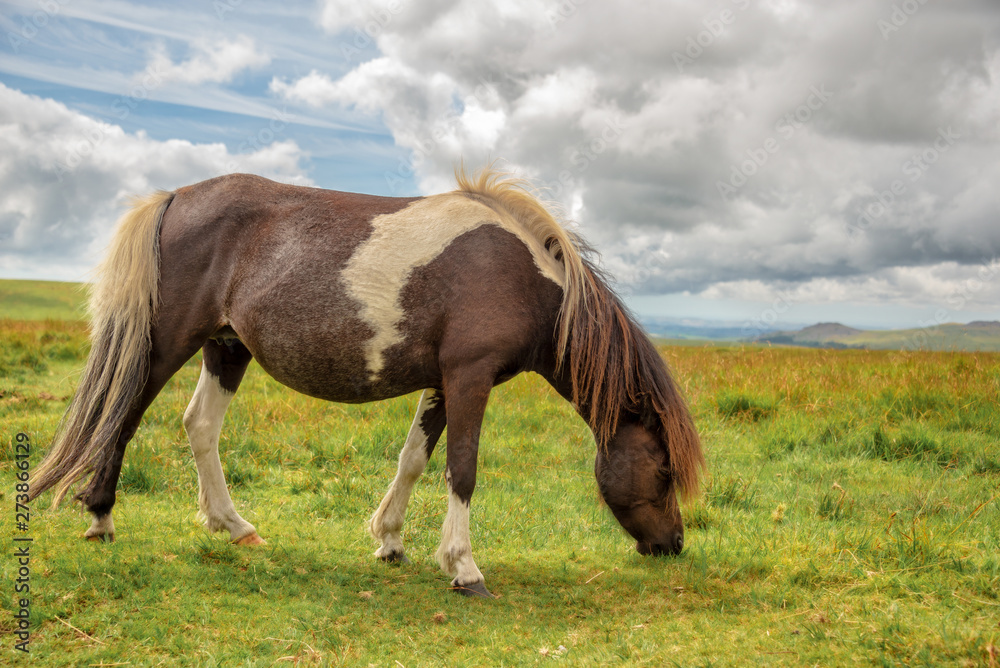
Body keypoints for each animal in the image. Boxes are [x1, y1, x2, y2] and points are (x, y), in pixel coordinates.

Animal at [29, 167, 704, 598]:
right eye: (664, 469)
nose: (672, 545)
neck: (522, 273)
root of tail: (177, 197)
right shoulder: (471, 376)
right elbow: (462, 469)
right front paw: (464, 568)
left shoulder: (442, 381)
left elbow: (413, 460)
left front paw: (390, 541)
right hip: (167, 343)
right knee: (123, 415)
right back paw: (100, 518)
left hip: (226, 348)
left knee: (199, 427)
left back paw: (235, 527)